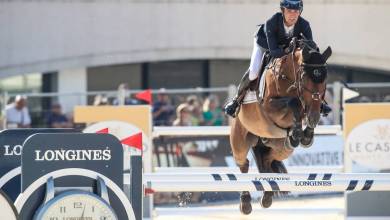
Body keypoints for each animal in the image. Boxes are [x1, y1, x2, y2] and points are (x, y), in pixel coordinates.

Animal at [230, 38, 334, 214]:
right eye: (304, 77)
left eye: (325, 78)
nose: (313, 117)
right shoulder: (269, 105)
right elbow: (294, 103)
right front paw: (298, 132)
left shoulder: (310, 106)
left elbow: (304, 109)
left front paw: (306, 135)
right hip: (240, 142)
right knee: (243, 165)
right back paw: (245, 203)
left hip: (279, 147)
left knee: (267, 160)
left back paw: (267, 197)